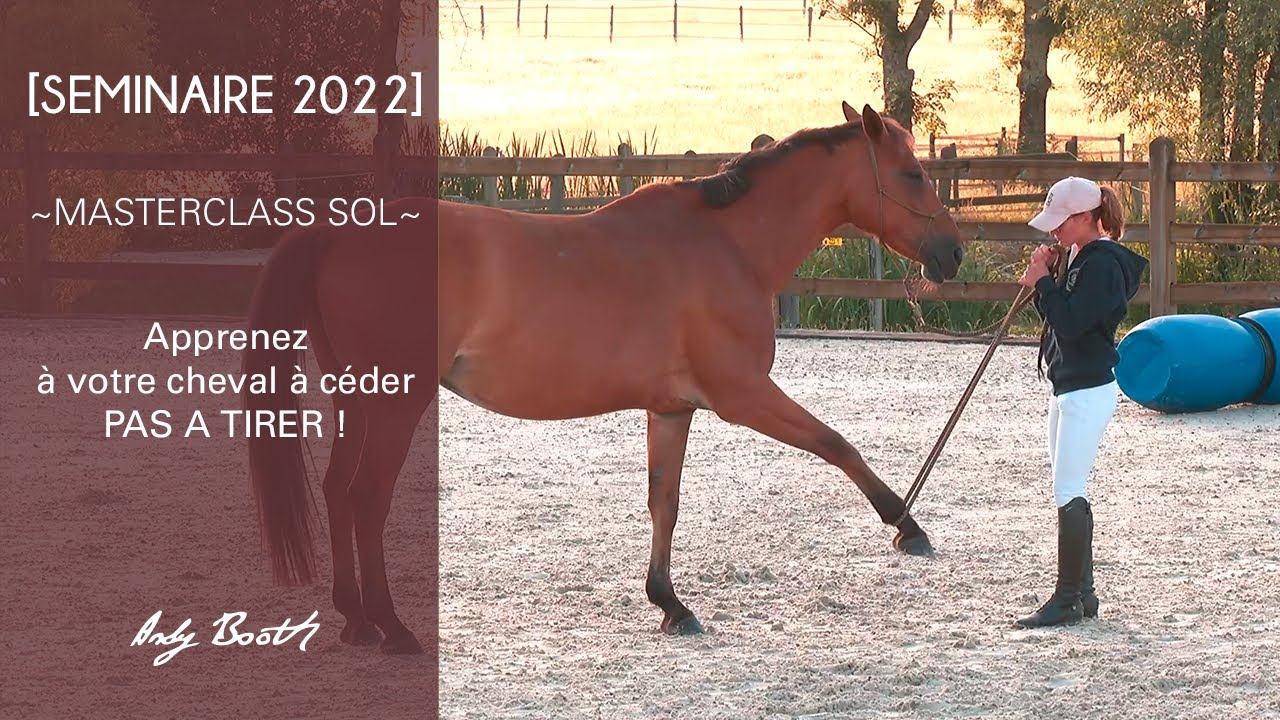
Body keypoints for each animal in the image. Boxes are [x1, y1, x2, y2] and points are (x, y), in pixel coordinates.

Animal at [242, 101, 966, 655]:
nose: (954, 253)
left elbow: (663, 501)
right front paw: (906, 525)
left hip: (359, 401)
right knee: (366, 497)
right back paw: (391, 627)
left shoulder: (673, 408)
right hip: (397, 403)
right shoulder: (743, 396)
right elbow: (836, 443)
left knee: (336, 491)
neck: (728, 244)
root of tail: (343, 232)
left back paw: (357, 620)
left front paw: (670, 603)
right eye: (912, 174)